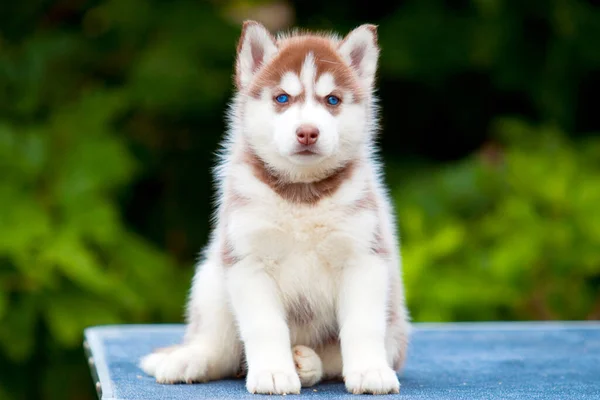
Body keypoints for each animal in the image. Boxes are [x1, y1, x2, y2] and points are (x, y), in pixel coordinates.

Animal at [141, 20, 412, 396]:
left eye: (332, 100)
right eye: (282, 98)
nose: (308, 132)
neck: (302, 195)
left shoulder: (364, 258)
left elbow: (362, 325)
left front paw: (370, 370)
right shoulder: (249, 260)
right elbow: (264, 326)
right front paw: (272, 373)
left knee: (333, 357)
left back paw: (308, 363)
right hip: (212, 281)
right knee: (220, 348)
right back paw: (187, 359)